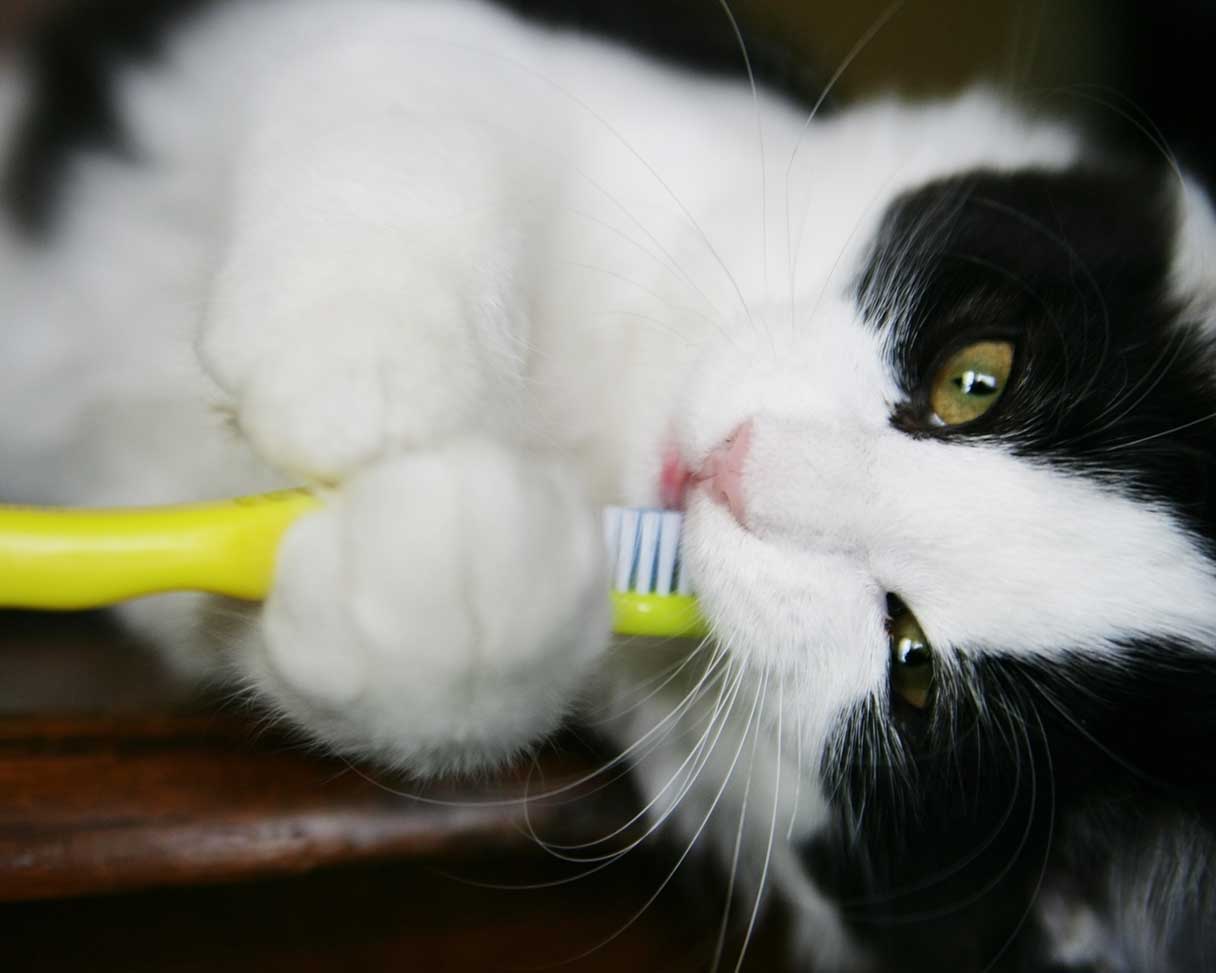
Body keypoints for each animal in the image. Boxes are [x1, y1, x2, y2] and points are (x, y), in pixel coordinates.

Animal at [2, 1, 1216, 972]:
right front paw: (360, 372)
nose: (736, 468)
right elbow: (420, 91)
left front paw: (446, 571)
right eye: (974, 379)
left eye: (912, 668)